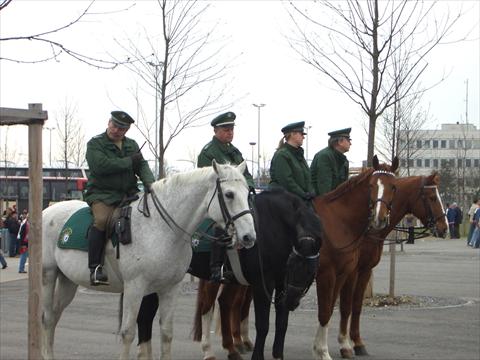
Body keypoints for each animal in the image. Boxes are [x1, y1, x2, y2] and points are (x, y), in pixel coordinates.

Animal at [41, 162, 256, 360]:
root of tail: (47, 211)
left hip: (68, 282)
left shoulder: (170, 288)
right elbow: (128, 333)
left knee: (54, 315)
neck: (160, 228)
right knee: (47, 318)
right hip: (49, 275)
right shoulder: (135, 287)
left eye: (248, 194)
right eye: (229, 194)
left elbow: (166, 333)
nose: (249, 237)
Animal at [332, 173, 448, 358]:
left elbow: (357, 305)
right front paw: (345, 345)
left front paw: (358, 342)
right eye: (432, 198)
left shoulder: (365, 270)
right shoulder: (351, 272)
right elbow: (346, 306)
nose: (445, 228)